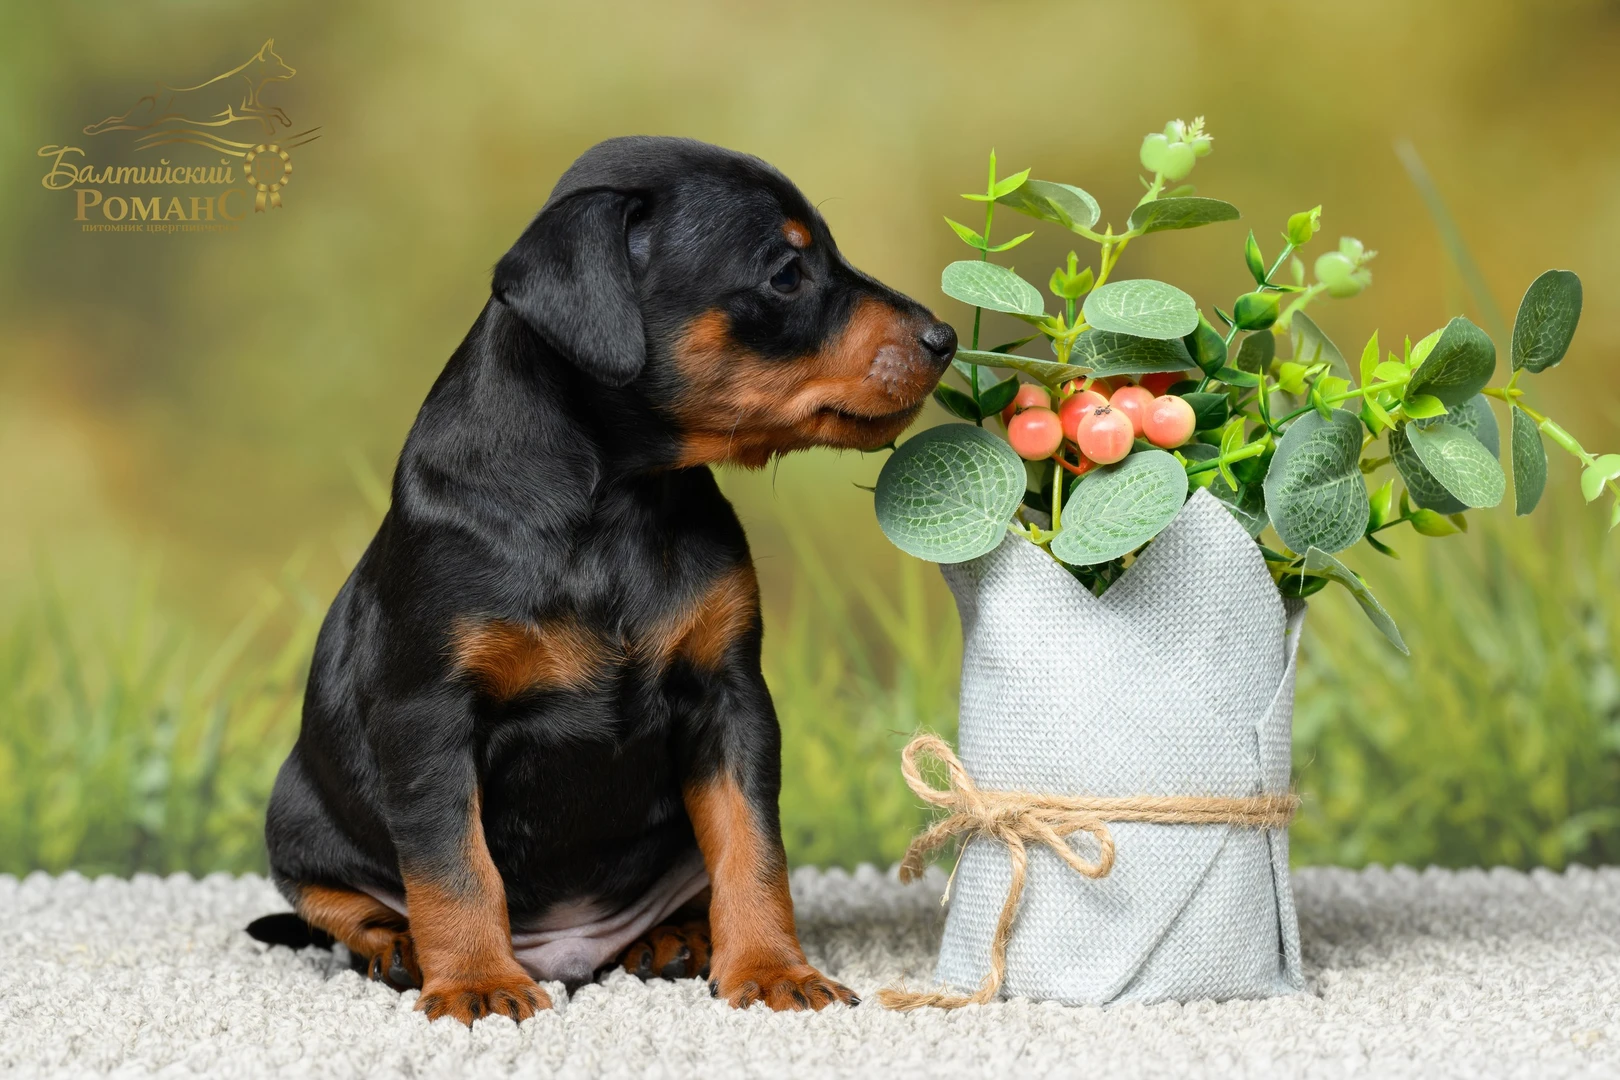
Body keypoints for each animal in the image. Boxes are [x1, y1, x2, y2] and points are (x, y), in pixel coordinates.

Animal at [247, 132, 952, 1023]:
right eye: (787, 274)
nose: (944, 338)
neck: (619, 503)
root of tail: (568, 949)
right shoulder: (427, 714)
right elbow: (452, 864)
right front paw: (475, 981)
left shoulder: (731, 697)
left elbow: (753, 848)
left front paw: (770, 968)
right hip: (296, 814)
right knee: (342, 904)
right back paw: (401, 951)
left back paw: (674, 939)